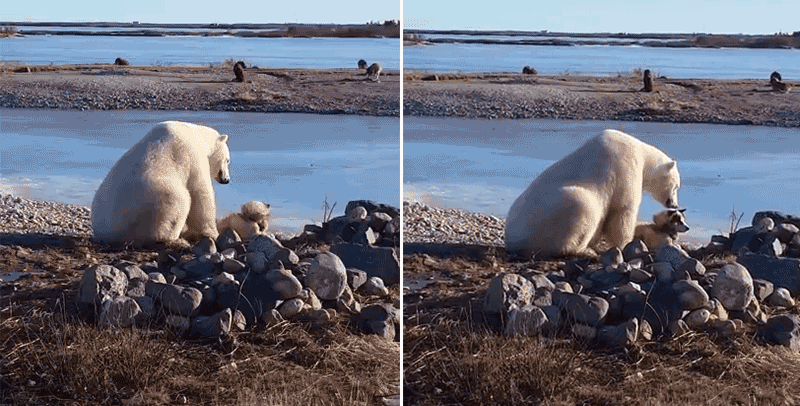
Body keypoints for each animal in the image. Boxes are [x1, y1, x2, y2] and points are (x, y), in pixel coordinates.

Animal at [91, 121, 231, 249]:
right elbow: (200, 192)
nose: (227, 180)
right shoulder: (191, 157)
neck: (195, 135)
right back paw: (175, 240)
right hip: (152, 198)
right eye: (228, 160)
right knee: (178, 201)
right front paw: (213, 233)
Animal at [505, 129, 681, 258]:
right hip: (548, 217)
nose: (674, 204)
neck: (642, 152)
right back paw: (583, 251)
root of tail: (512, 239)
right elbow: (622, 211)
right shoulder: (626, 167)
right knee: (582, 205)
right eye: (676, 186)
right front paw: (625, 244)